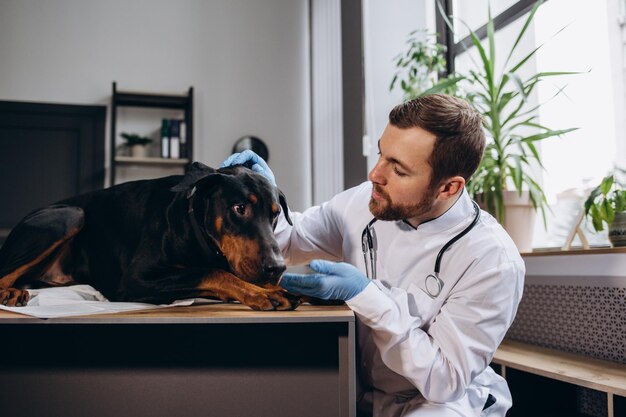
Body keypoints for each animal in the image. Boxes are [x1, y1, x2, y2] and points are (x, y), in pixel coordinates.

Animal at [0, 161, 300, 310]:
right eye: (239, 208)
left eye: (275, 215)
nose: (276, 268)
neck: (196, 227)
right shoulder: (135, 280)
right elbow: (213, 273)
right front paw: (262, 294)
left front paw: (275, 288)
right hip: (71, 214)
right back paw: (11, 292)